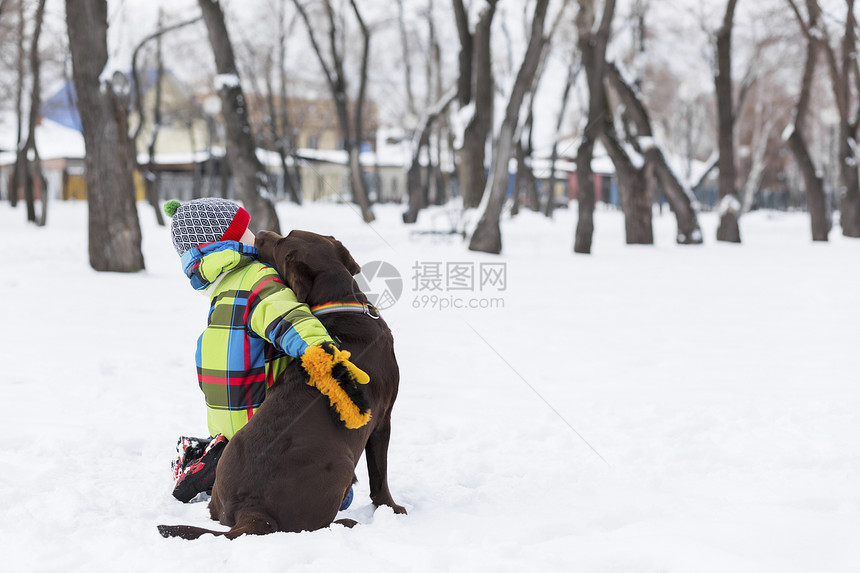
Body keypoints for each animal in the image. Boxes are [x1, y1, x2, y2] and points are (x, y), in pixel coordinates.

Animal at [159, 230, 406, 540]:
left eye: (284, 240)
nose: (261, 234)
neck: (340, 302)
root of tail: (251, 510)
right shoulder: (383, 419)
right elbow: (379, 476)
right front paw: (392, 508)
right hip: (342, 465)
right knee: (311, 526)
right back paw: (346, 523)